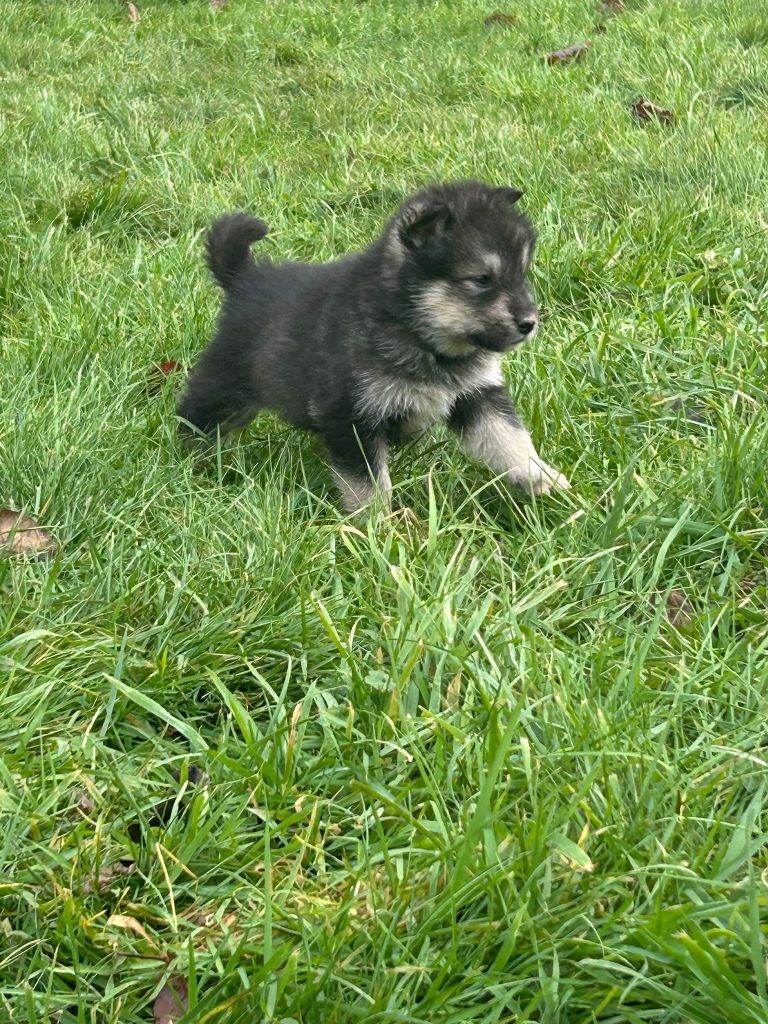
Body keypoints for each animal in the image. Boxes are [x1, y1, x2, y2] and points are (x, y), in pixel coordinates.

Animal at [177, 180, 569, 512]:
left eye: (522, 273)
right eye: (482, 280)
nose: (529, 323)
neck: (418, 334)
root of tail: (245, 277)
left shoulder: (477, 395)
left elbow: (509, 437)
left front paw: (539, 475)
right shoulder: (350, 413)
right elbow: (368, 483)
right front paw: (379, 528)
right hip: (225, 385)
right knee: (196, 416)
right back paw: (190, 462)